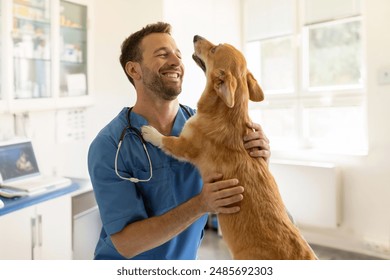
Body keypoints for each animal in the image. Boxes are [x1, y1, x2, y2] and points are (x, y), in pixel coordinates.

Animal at [140, 35, 316, 260]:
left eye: (215, 49)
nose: (196, 36)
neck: (228, 114)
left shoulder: (185, 146)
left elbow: (166, 140)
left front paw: (149, 132)